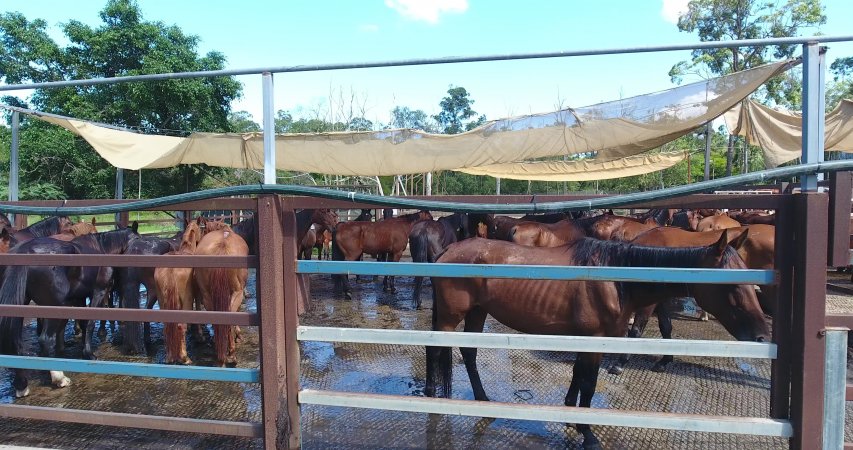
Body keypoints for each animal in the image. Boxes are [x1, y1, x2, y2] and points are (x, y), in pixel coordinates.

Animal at [0, 224, 138, 398]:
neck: (102, 248)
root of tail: (24, 251)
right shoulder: (99, 292)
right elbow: (90, 323)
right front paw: (89, 353)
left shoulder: (78, 298)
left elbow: (83, 324)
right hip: (52, 307)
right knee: (45, 339)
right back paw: (59, 377)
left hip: (20, 304)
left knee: (17, 342)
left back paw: (21, 385)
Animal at [156, 216, 206, 364]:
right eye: (202, 228)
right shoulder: (196, 294)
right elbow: (198, 307)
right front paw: (199, 335)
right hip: (186, 300)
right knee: (180, 326)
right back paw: (184, 357)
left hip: (162, 301)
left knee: (167, 326)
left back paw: (169, 357)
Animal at [191, 223, 248, 368]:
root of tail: (222, 246)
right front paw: (238, 335)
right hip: (236, 293)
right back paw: (231, 355)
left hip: (207, 296)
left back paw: (221, 356)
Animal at [430, 236, 768, 450]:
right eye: (732, 286)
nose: (761, 336)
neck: (614, 279)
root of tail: (448, 251)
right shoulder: (595, 340)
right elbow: (589, 383)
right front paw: (588, 433)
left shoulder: (586, 340)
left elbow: (578, 376)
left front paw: (571, 415)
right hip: (449, 317)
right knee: (435, 350)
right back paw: (433, 398)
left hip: (478, 312)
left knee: (469, 353)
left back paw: (483, 402)